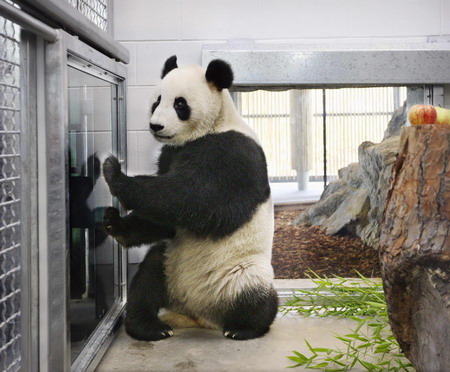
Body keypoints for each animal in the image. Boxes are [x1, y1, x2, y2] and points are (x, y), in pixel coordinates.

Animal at [103, 53, 278, 342]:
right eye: (157, 101)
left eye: (180, 104)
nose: (156, 126)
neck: (209, 129)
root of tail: (200, 315)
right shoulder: (170, 154)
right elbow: (164, 220)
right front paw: (113, 222)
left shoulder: (234, 152)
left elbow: (199, 202)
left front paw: (115, 173)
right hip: (169, 261)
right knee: (147, 279)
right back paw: (150, 327)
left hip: (240, 270)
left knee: (255, 295)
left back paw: (243, 328)